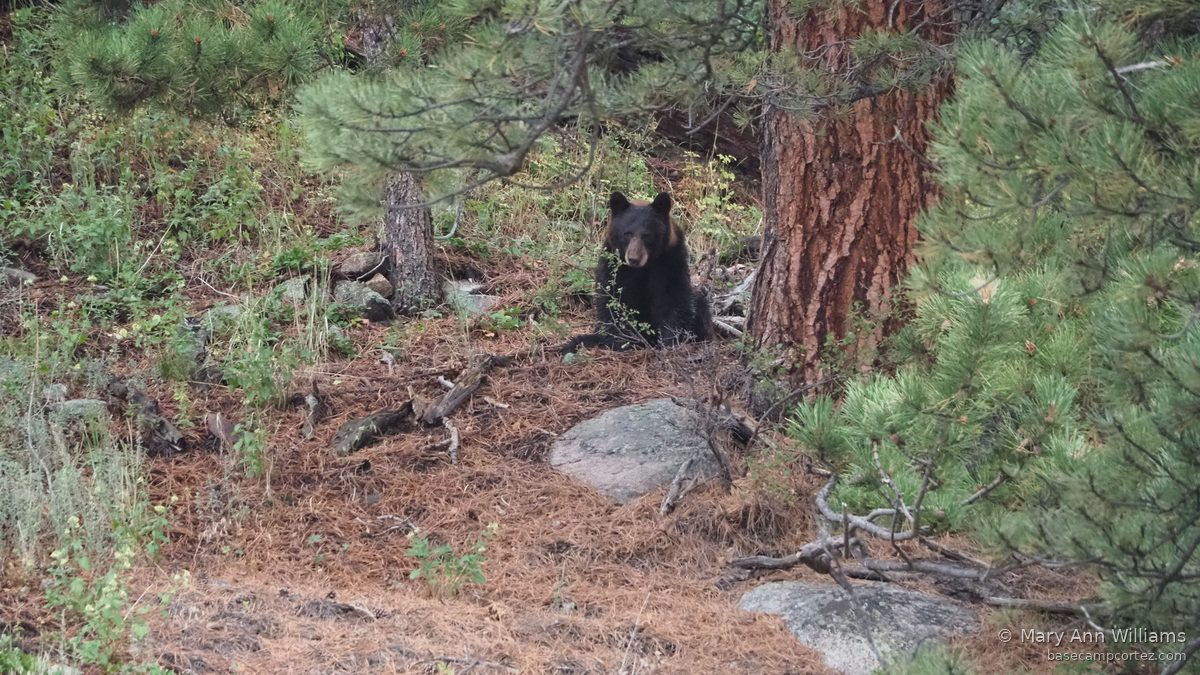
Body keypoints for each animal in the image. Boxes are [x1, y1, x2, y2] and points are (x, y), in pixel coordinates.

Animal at [562, 191, 713, 353]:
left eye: (647, 235)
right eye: (627, 234)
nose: (634, 259)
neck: (643, 268)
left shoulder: (670, 261)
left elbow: (674, 297)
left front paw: (670, 340)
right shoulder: (613, 262)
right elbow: (610, 296)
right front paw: (621, 340)